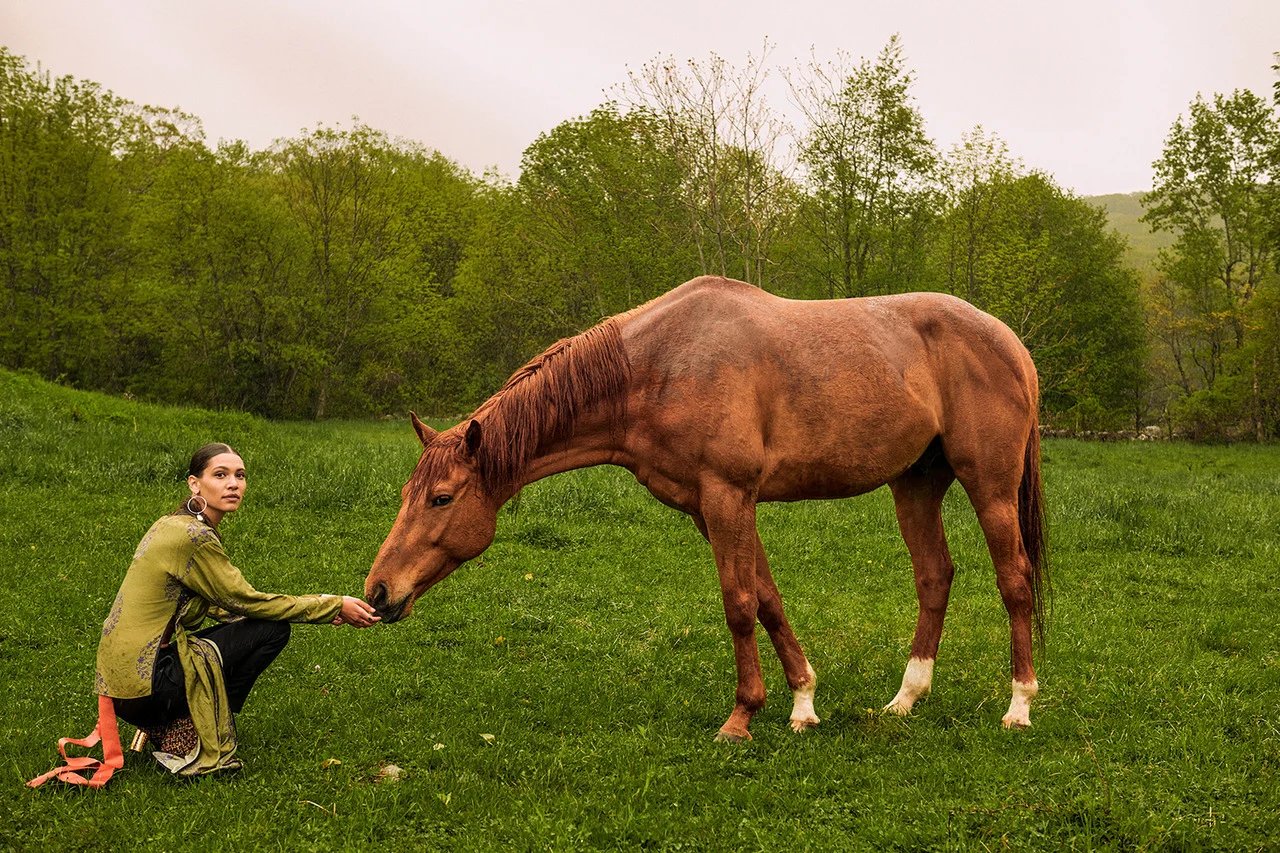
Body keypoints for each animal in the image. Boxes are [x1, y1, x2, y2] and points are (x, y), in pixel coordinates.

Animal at [366, 277, 1044, 737]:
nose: (377, 593)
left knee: (1014, 580)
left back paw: (1018, 705)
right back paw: (906, 698)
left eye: (441, 498)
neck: (659, 366)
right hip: (916, 486)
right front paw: (803, 703)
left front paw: (742, 717)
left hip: (989, 487)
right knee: (934, 577)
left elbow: (738, 603)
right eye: (406, 495)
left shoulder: (728, 495)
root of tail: (1008, 340)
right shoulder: (706, 506)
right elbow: (767, 598)